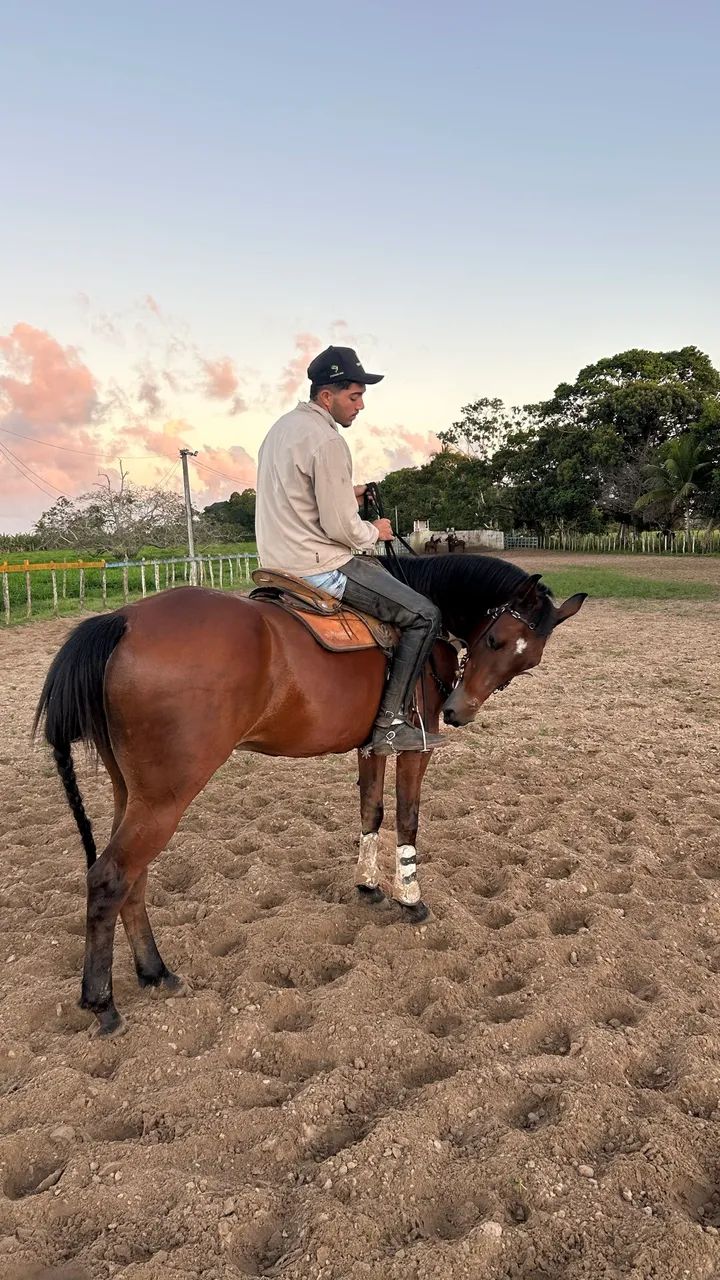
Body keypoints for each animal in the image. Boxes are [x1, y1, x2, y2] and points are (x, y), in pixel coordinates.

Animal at [34, 553, 586, 1036]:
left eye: (527, 661)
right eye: (495, 637)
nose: (458, 712)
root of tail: (122, 620)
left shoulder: (372, 745)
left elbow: (371, 810)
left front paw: (368, 886)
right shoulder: (418, 746)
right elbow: (407, 817)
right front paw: (410, 898)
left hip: (134, 793)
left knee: (133, 876)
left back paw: (154, 972)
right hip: (165, 798)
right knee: (110, 877)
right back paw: (103, 1002)